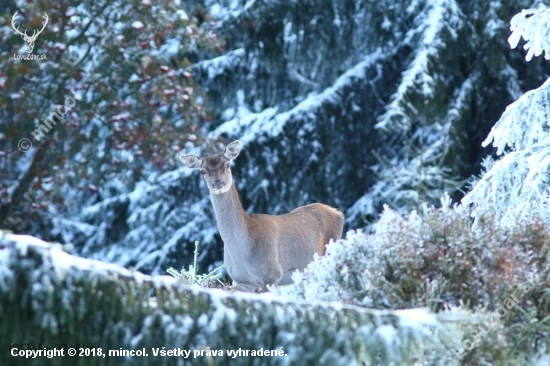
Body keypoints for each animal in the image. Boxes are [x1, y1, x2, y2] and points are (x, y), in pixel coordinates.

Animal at [181, 140, 344, 292]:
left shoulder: (272, 274)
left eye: (228, 165)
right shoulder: (240, 282)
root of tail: (339, 213)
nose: (218, 183)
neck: (241, 251)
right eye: (203, 171)